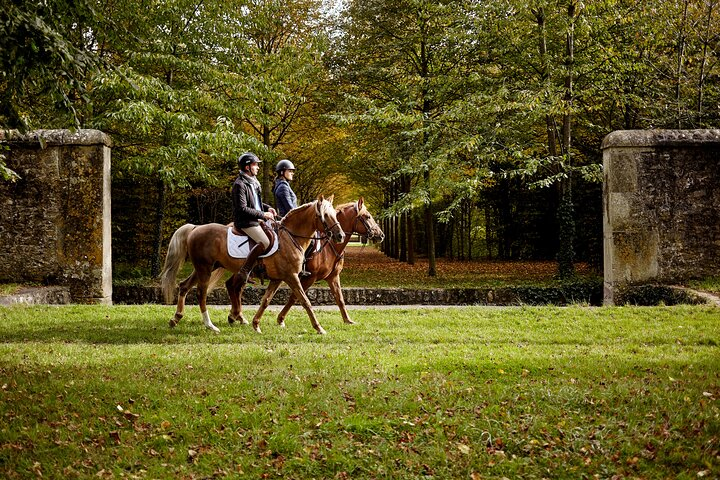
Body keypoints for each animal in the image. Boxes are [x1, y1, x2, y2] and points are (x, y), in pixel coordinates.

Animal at [160, 195, 344, 334]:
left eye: (335, 214)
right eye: (325, 216)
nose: (340, 236)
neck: (291, 238)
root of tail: (195, 228)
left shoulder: (277, 279)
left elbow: (266, 300)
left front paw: (256, 324)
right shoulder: (291, 277)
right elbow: (305, 301)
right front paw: (319, 328)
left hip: (206, 267)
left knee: (185, 286)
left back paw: (176, 318)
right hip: (205, 269)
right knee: (201, 293)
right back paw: (210, 325)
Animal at [228, 198, 384, 329]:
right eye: (367, 216)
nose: (381, 235)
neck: (329, 246)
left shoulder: (333, 277)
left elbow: (339, 298)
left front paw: (348, 320)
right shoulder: (309, 277)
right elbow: (295, 297)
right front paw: (280, 319)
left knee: (233, 286)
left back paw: (236, 316)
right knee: (236, 287)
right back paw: (237, 316)